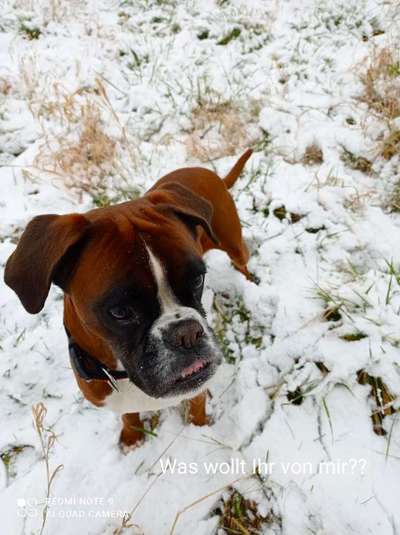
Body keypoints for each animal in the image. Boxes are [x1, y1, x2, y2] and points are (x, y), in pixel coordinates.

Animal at [3, 149, 252, 450]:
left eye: (196, 280)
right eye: (120, 311)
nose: (187, 333)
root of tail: (204, 171)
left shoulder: (197, 386)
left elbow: (196, 405)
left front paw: (198, 428)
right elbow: (128, 415)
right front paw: (133, 437)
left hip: (233, 243)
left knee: (242, 260)